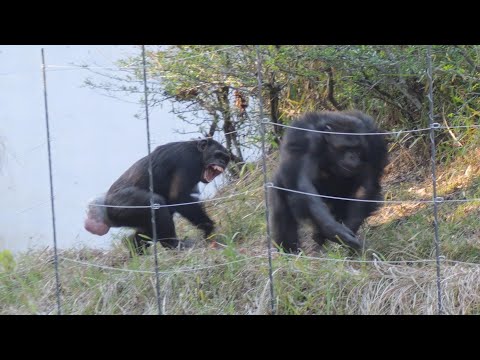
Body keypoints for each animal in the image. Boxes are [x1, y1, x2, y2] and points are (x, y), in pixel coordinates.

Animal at [84, 138, 231, 253]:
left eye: (225, 158)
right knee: (157, 202)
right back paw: (175, 245)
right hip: (121, 207)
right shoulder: (188, 161)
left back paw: (134, 246)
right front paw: (208, 228)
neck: (200, 156)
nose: (222, 163)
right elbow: (179, 197)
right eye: (218, 155)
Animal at [270, 109, 390, 253]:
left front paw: (348, 233)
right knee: (281, 197)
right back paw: (289, 250)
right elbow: (303, 185)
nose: (352, 156)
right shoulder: (302, 140)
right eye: (344, 148)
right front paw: (335, 231)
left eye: (358, 149)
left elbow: (367, 184)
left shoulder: (374, 141)